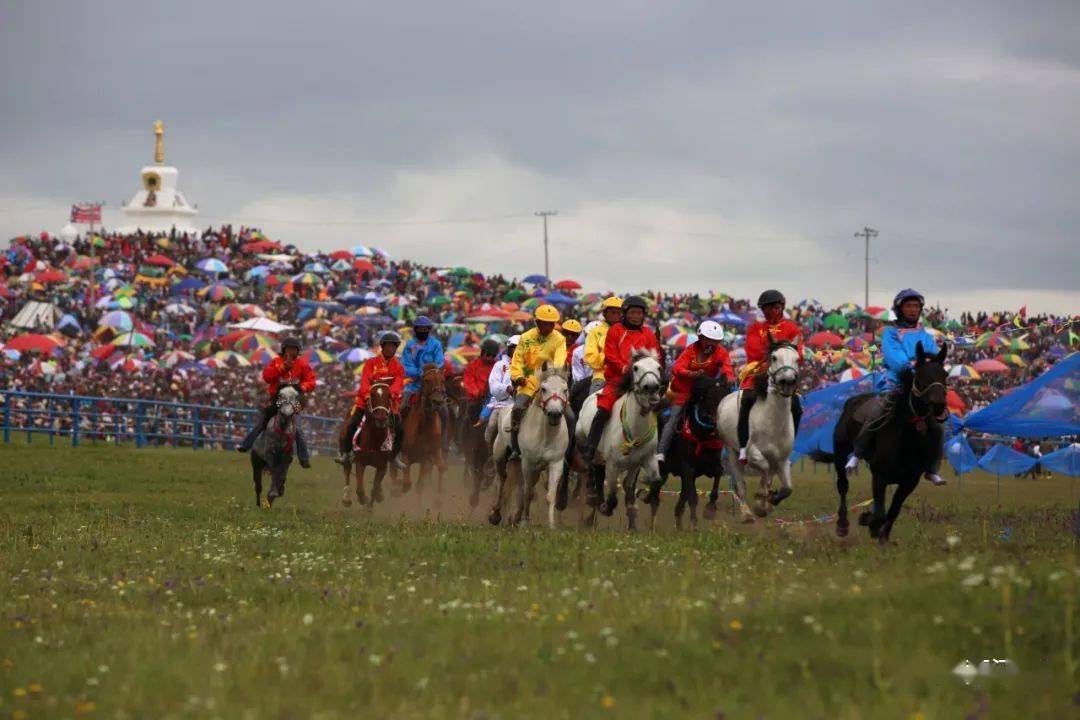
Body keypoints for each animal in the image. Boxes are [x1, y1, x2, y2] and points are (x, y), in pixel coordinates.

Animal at [399, 362, 444, 498]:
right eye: (427, 380)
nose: (437, 402)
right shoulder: (405, 455)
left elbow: (419, 485)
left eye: (443, 380)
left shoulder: (427, 458)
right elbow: (407, 483)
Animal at [492, 367, 574, 528]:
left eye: (565, 389)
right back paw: (496, 515)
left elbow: (550, 495)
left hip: (537, 469)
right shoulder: (527, 463)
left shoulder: (556, 463)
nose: (554, 414)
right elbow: (527, 492)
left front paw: (551, 525)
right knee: (502, 478)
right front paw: (524, 522)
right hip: (499, 453)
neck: (545, 435)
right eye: (544, 389)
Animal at [717, 343, 803, 524]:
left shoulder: (781, 458)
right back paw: (747, 514)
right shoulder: (753, 453)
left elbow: (787, 488)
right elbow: (764, 469)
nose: (788, 381)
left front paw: (770, 501)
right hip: (731, 450)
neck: (773, 422)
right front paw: (760, 501)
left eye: (797, 359)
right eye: (774, 357)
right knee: (740, 484)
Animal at [825, 343, 946, 539]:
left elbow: (892, 512)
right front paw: (868, 521)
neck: (906, 442)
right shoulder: (880, 476)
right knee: (843, 485)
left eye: (945, 375)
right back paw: (842, 525)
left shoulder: (909, 482)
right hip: (840, 451)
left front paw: (882, 536)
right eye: (920, 376)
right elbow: (880, 513)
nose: (939, 406)